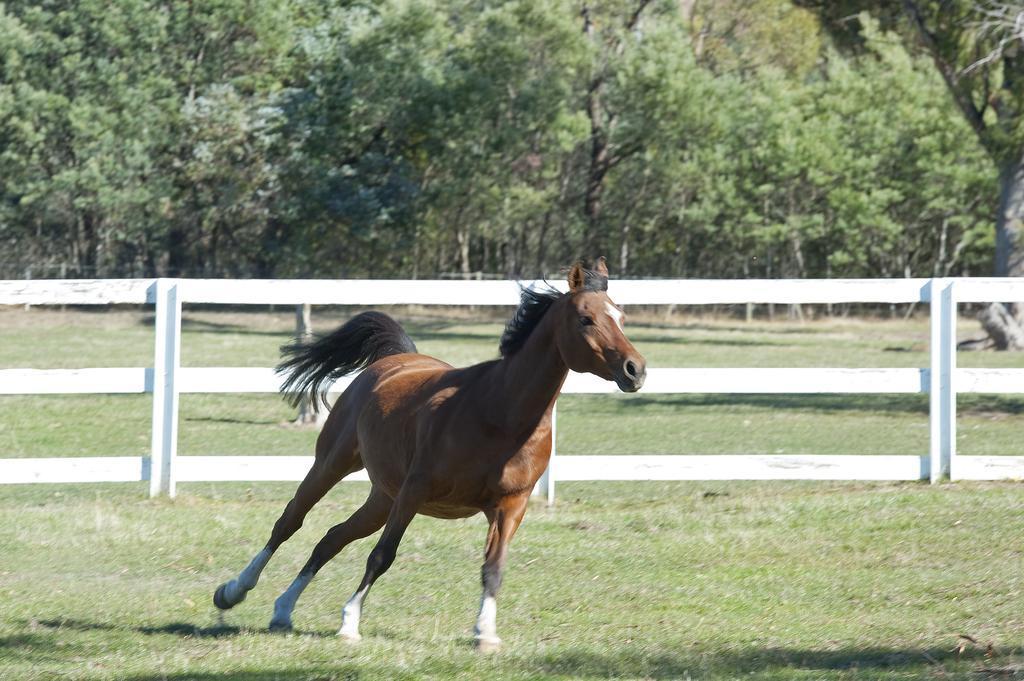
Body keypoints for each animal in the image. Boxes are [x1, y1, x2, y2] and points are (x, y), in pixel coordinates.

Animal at [214, 258, 647, 651]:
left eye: (621, 317)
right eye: (586, 319)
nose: (635, 370)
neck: (500, 412)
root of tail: (394, 359)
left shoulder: (511, 506)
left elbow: (493, 568)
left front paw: (485, 634)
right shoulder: (415, 491)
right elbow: (382, 556)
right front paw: (350, 622)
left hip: (381, 497)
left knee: (330, 538)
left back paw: (283, 610)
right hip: (334, 466)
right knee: (289, 523)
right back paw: (234, 591)